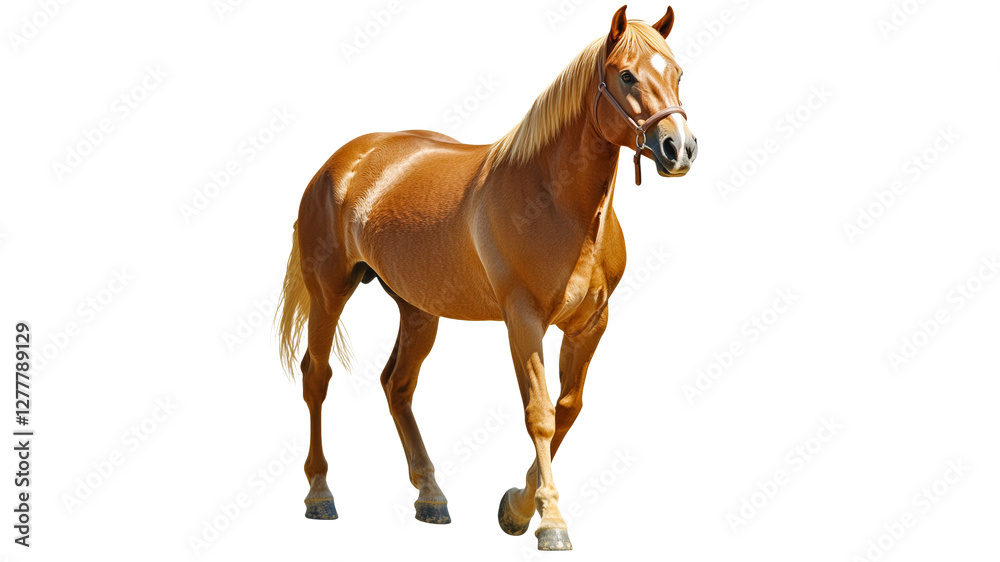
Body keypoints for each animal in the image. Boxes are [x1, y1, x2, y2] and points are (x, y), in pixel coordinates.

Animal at [275, 5, 697, 551]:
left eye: (678, 73)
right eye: (626, 75)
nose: (679, 148)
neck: (556, 202)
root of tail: (341, 162)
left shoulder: (590, 325)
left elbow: (568, 409)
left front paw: (517, 508)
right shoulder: (524, 321)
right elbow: (540, 414)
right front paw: (549, 521)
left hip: (418, 309)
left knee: (398, 385)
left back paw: (431, 496)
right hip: (329, 292)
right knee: (317, 377)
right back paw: (320, 493)